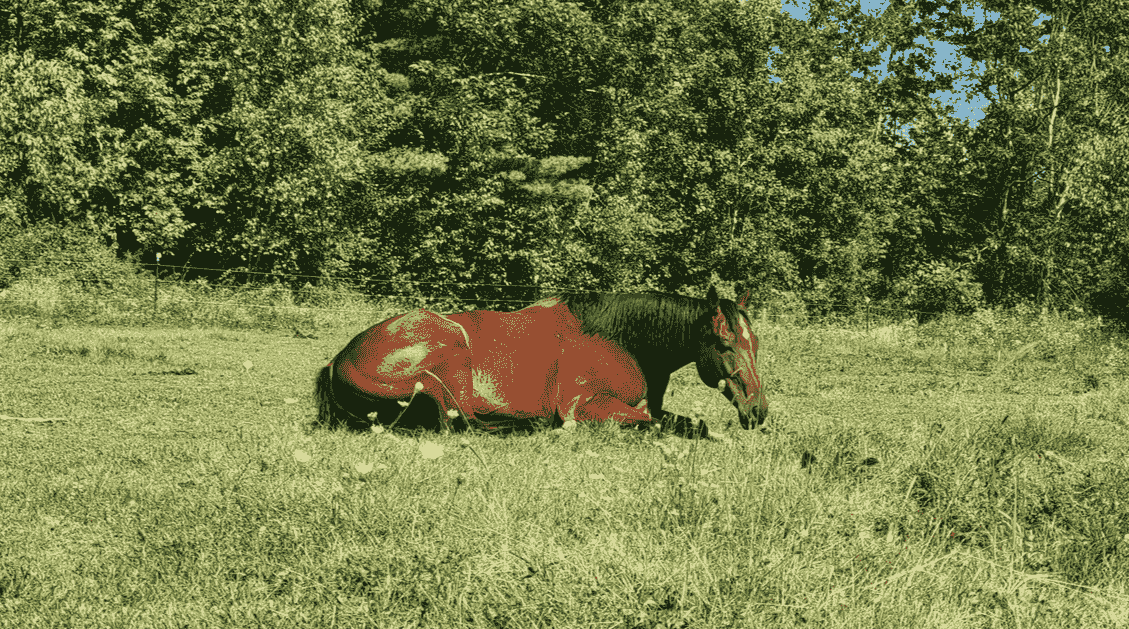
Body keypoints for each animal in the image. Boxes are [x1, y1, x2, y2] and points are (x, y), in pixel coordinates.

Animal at [314, 286, 768, 434]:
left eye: (756, 343)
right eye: (724, 344)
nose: (758, 411)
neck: (620, 339)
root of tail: (339, 361)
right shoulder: (585, 407)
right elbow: (653, 423)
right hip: (452, 351)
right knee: (463, 423)